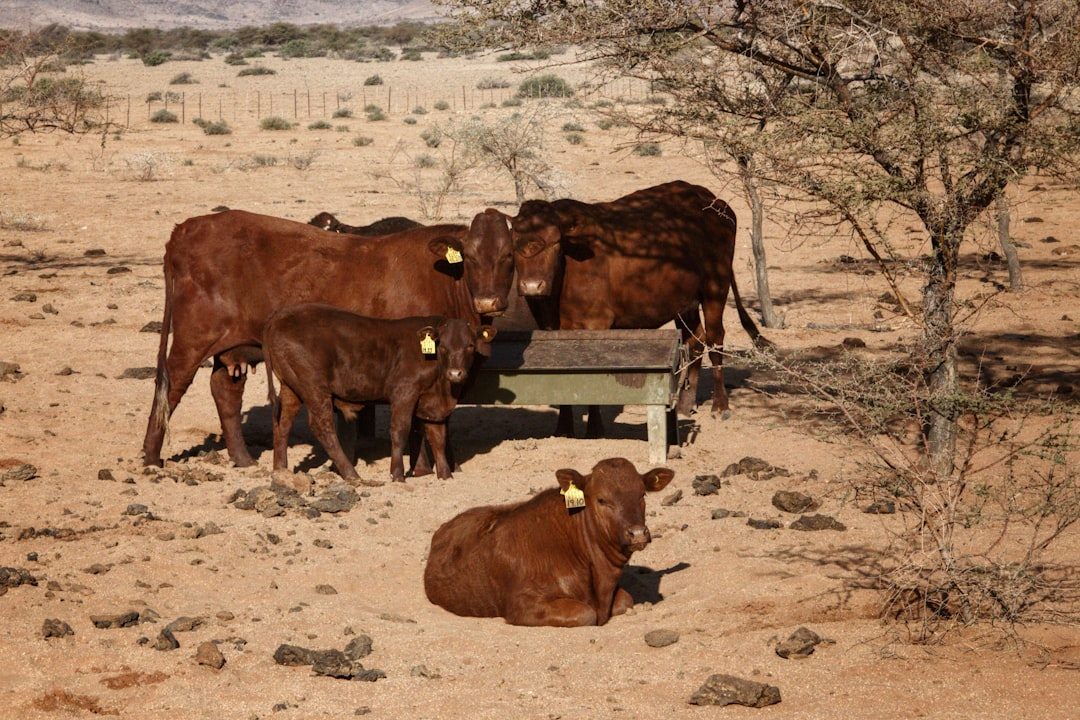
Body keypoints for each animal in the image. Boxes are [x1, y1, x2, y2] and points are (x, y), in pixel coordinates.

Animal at [264, 306, 495, 482]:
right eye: (443, 347)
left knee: (283, 424)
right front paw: (397, 474)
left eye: (470, 345)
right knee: (323, 426)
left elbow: (437, 436)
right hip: (314, 387)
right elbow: (400, 431)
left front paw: (445, 475)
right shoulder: (404, 392)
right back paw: (351, 474)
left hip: (291, 387)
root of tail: (281, 317)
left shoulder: (432, 402)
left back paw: (280, 470)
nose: (455, 373)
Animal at [424, 457, 673, 627]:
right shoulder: (522, 604)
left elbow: (625, 599)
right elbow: (586, 613)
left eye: (642, 495)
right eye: (602, 499)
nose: (637, 533)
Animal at [507, 180, 766, 437]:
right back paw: (685, 403)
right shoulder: (550, 329)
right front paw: (563, 428)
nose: (532, 286)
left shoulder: (596, 323)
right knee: (695, 341)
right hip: (684, 302)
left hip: (715, 286)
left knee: (714, 340)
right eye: (514, 246)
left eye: (556, 243)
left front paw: (595, 428)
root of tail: (712, 201)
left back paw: (720, 406)